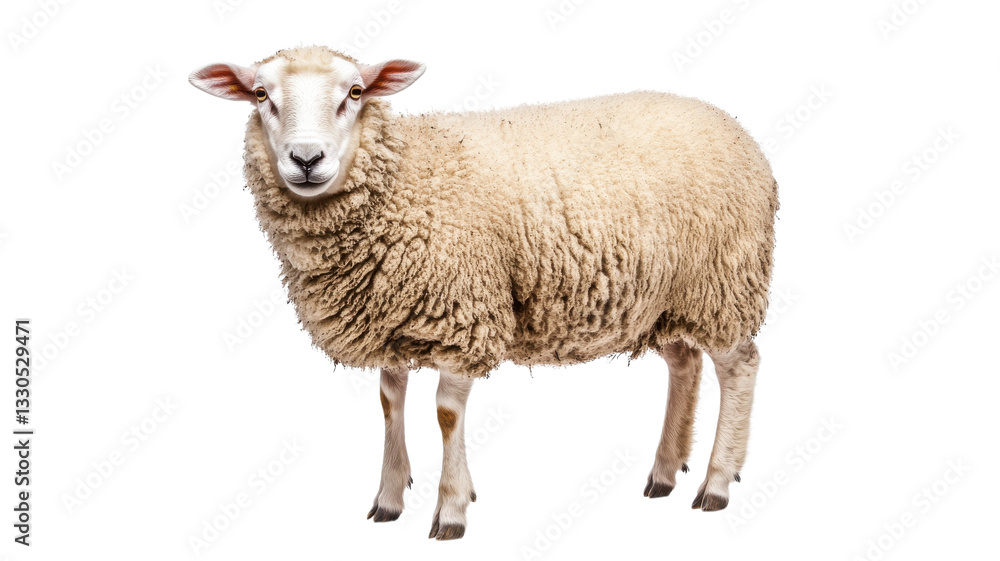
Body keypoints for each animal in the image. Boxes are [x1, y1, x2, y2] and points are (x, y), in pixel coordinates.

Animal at [190, 45, 779, 540]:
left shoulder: (461, 314)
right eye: (261, 95)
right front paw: (388, 499)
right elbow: (389, 402)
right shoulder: (392, 314)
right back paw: (664, 473)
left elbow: (447, 414)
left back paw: (717, 482)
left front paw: (451, 509)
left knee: (740, 366)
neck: (405, 178)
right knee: (685, 363)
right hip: (666, 296)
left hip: (723, 280)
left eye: (355, 92)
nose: (306, 159)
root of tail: (732, 125)